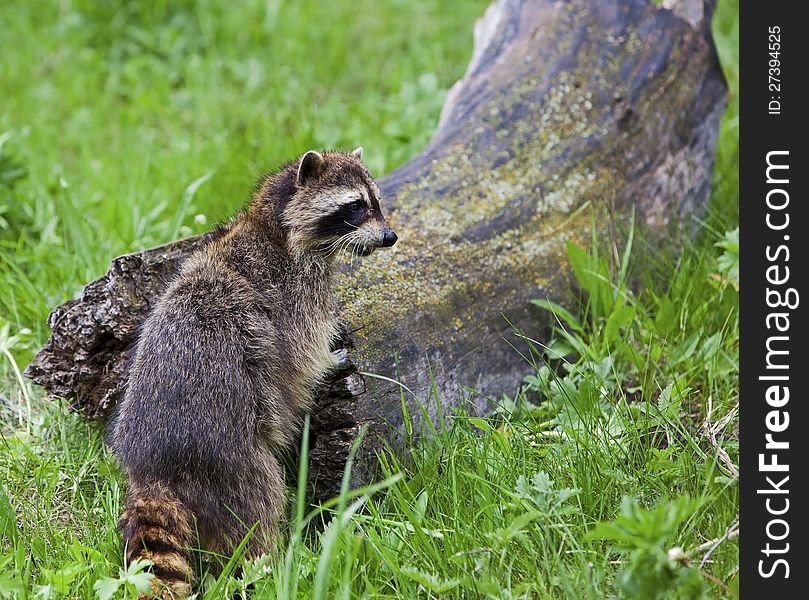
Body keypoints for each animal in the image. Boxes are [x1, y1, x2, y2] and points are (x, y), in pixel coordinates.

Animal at [109, 148, 396, 596]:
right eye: (355, 206)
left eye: (376, 202)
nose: (389, 237)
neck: (274, 227)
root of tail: (155, 467)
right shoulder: (291, 295)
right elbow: (300, 359)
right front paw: (330, 360)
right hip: (230, 455)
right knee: (257, 508)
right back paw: (268, 561)